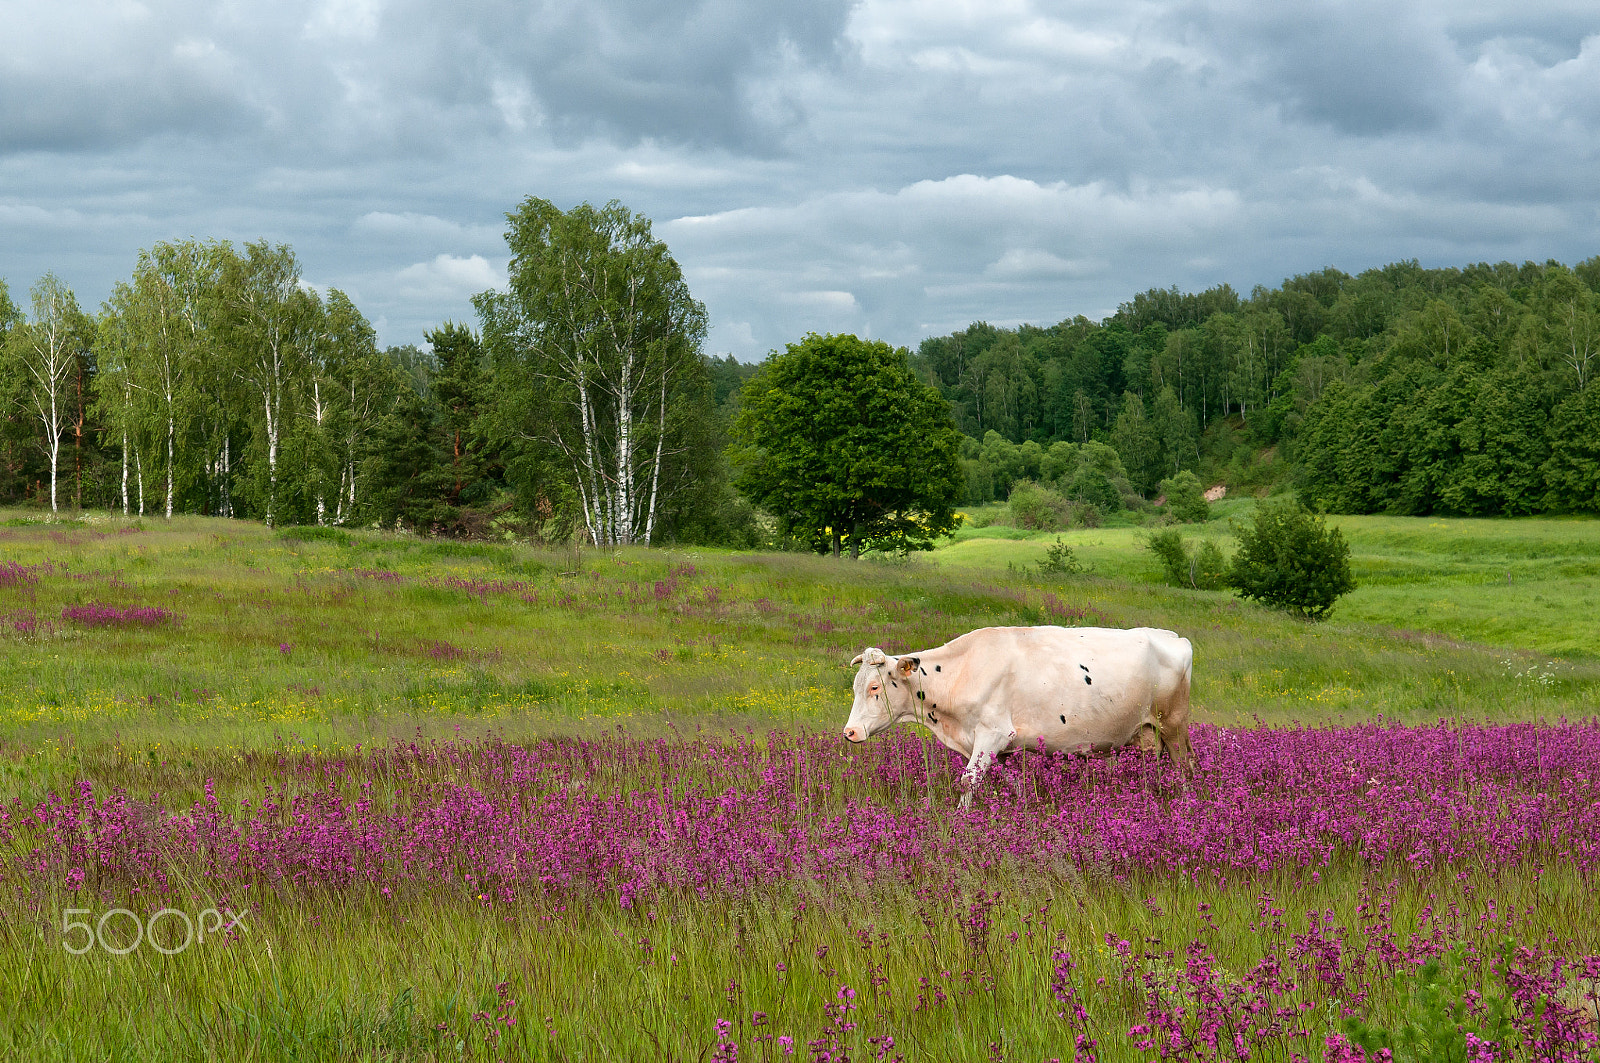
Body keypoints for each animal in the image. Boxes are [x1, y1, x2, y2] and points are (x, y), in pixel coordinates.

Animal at [842, 626, 1194, 807]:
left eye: (874, 686)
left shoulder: (992, 734)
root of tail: (1174, 636)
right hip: (1147, 732)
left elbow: (967, 782)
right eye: (856, 686)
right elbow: (1014, 784)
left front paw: (960, 825)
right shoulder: (1000, 748)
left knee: (1184, 766)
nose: (850, 732)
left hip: (1173, 724)